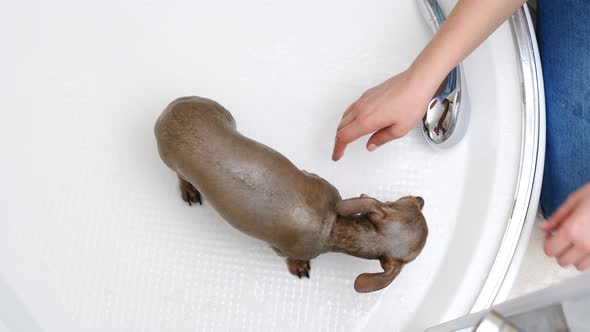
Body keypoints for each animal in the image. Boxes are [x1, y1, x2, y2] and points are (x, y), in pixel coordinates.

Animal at [155, 96, 428, 294]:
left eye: (409, 203)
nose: (422, 199)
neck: (331, 226)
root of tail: (168, 111)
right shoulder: (281, 249)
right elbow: (291, 258)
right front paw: (299, 267)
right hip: (173, 161)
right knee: (180, 176)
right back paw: (189, 190)